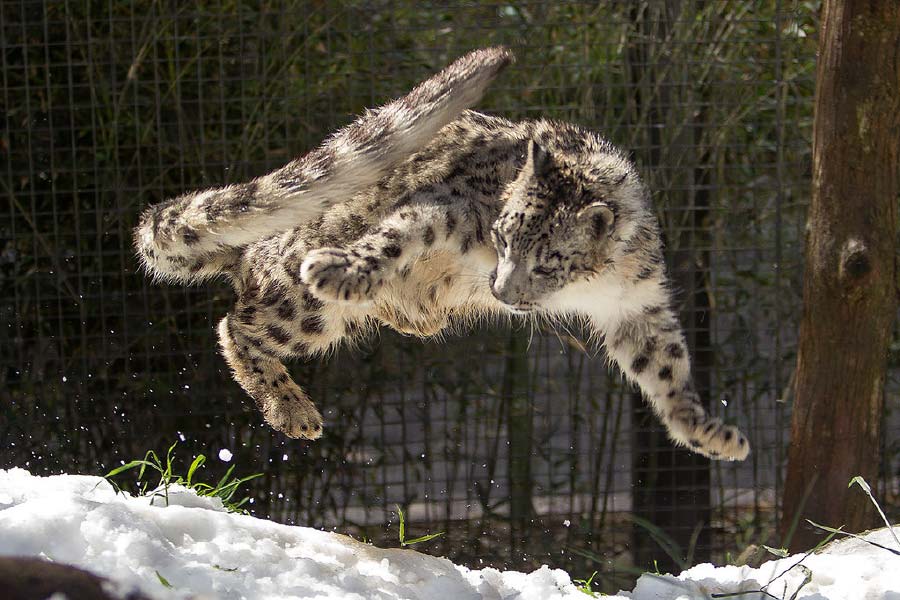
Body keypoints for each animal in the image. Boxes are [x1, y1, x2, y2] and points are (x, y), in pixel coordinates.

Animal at [135, 47, 750, 461]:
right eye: (502, 236)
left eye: (547, 260)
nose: (501, 290)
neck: (594, 282)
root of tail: (253, 250)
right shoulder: (448, 210)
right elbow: (392, 238)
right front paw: (337, 268)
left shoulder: (637, 305)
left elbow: (667, 369)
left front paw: (713, 436)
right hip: (300, 310)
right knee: (233, 326)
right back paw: (294, 408)